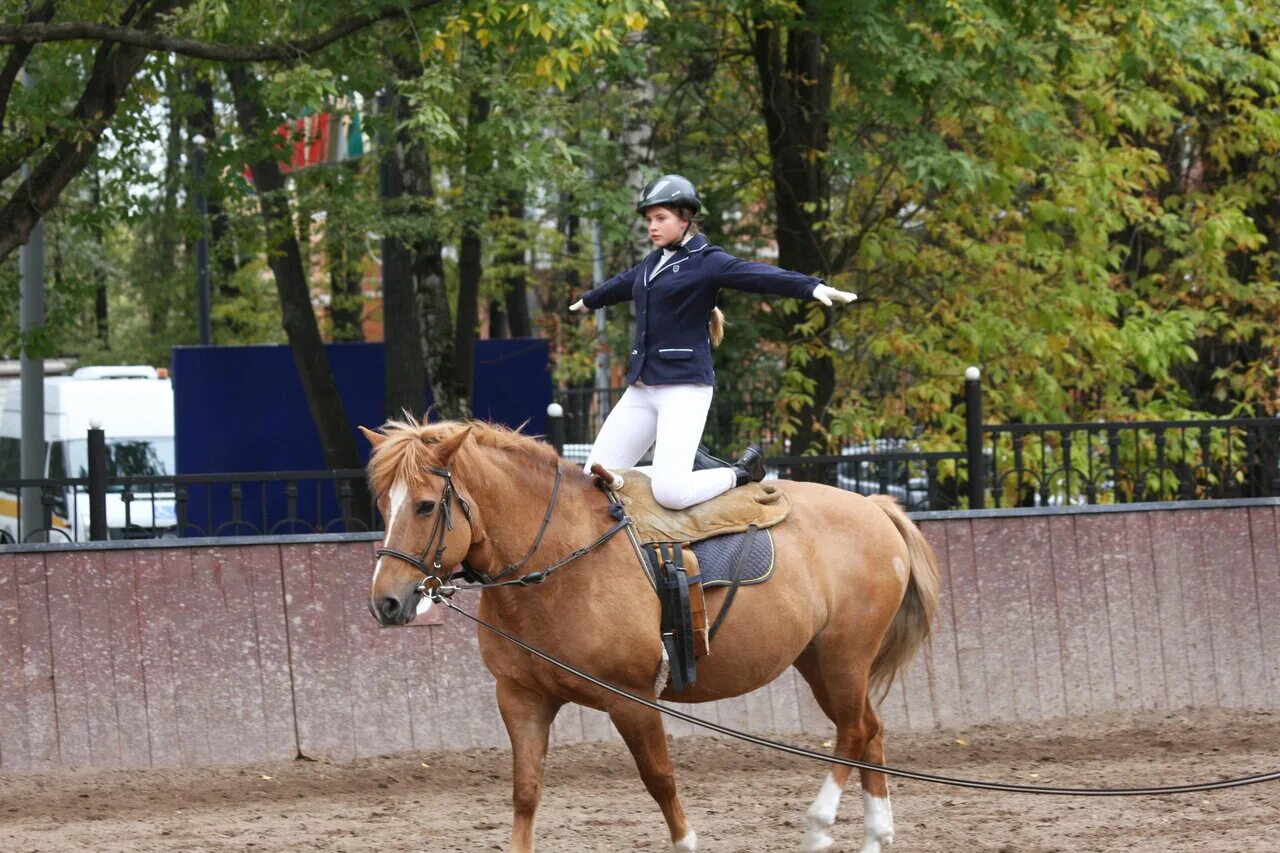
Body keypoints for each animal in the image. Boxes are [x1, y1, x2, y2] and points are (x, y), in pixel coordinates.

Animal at [360, 417, 942, 850]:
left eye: (426, 505)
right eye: (383, 505)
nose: (386, 602)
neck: (559, 559)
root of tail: (874, 507)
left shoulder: (632, 698)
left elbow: (660, 780)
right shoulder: (521, 699)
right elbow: (525, 792)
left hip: (844, 657)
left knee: (852, 732)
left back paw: (820, 826)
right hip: (819, 660)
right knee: (868, 729)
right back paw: (873, 835)